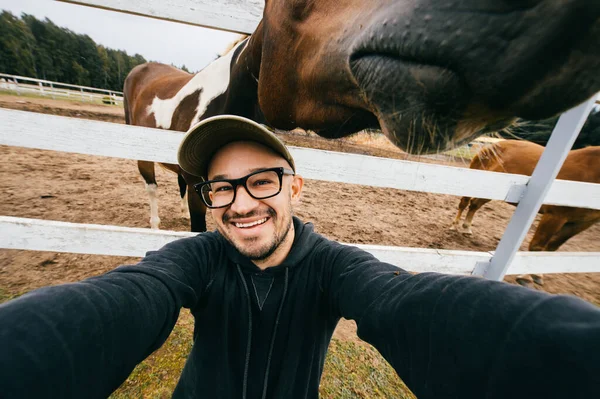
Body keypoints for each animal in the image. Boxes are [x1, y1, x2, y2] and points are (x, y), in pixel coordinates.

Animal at [450, 141, 600, 288]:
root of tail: (492, 145)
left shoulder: (581, 223)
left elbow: (551, 248)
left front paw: (538, 275)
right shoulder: (555, 215)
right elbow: (537, 246)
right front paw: (526, 277)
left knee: (474, 204)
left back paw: (467, 228)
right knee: (464, 203)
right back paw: (455, 225)